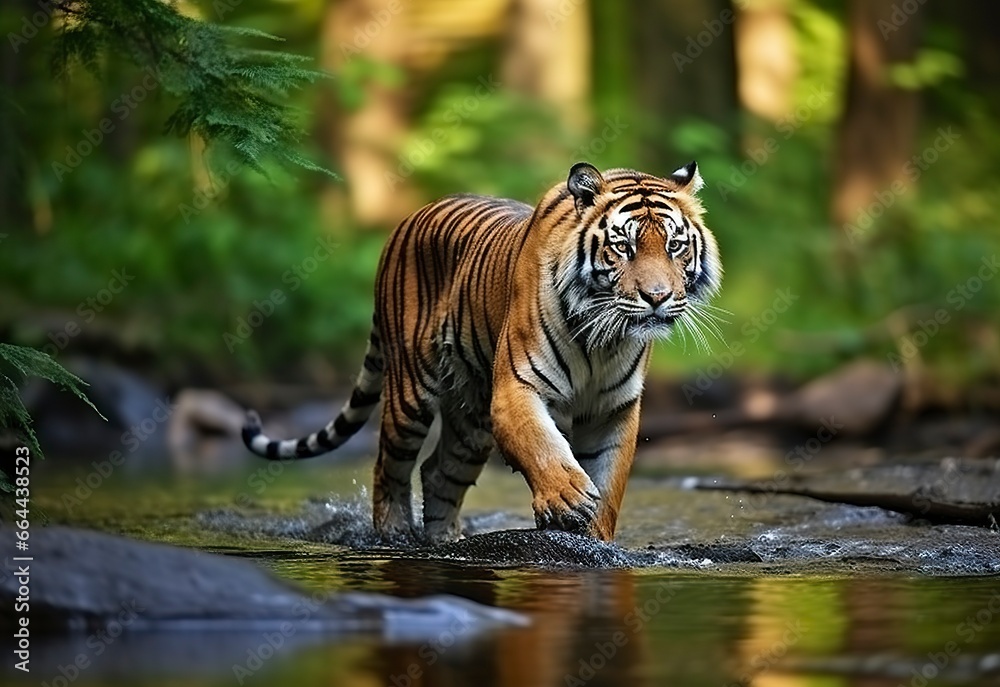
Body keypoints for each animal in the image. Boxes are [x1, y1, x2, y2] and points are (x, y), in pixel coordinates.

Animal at [242, 161, 722, 543]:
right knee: (388, 466)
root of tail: (406, 220)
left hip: (471, 423)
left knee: (438, 472)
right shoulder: (517, 388)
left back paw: (446, 541)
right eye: (624, 246)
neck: (603, 341)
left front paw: (592, 533)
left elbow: (610, 481)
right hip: (409, 396)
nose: (657, 297)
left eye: (675, 246)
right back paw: (394, 534)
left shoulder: (614, 410)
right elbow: (540, 445)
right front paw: (567, 498)